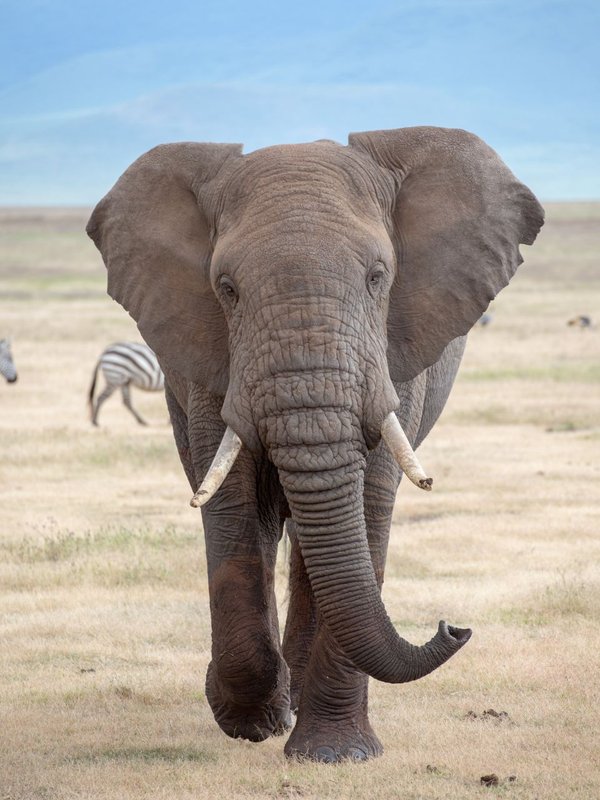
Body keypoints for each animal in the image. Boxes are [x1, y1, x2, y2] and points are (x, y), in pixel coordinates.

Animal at [87, 127, 543, 762]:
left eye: (378, 276)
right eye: (226, 289)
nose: (454, 627)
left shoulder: (394, 352)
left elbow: (368, 500)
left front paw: (334, 755)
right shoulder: (210, 357)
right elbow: (231, 504)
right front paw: (253, 720)